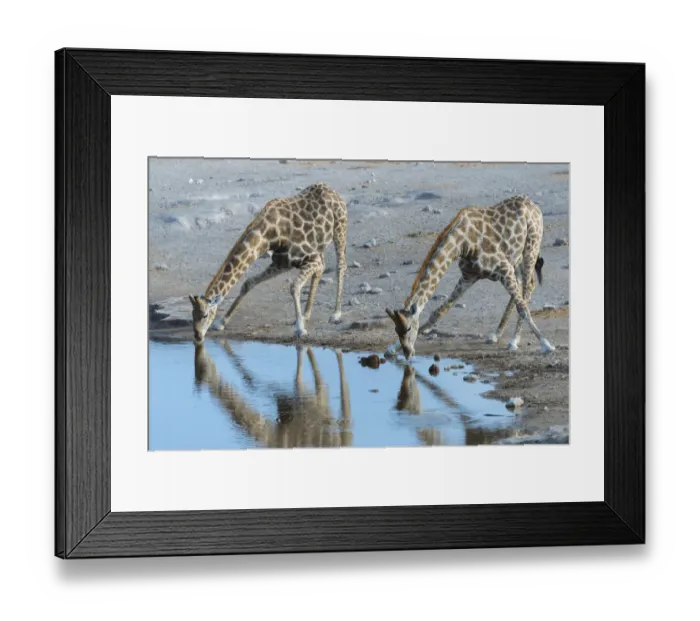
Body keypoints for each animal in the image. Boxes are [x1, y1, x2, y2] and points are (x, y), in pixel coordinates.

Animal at [189, 183, 348, 344]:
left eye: (205, 315)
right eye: (192, 314)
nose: (197, 336)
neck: (268, 235)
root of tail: (332, 190)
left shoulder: (311, 259)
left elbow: (294, 286)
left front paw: (300, 329)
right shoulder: (281, 263)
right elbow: (248, 283)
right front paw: (221, 322)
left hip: (340, 228)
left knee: (341, 266)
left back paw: (336, 314)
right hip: (320, 244)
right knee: (322, 269)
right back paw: (306, 314)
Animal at [385, 195, 554, 360]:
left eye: (408, 328)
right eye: (396, 330)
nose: (408, 353)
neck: (463, 243)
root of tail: (533, 205)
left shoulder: (503, 268)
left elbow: (523, 308)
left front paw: (546, 344)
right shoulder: (468, 277)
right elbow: (437, 314)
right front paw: (390, 350)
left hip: (531, 248)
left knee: (528, 286)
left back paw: (514, 340)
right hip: (516, 257)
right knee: (520, 288)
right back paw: (496, 334)